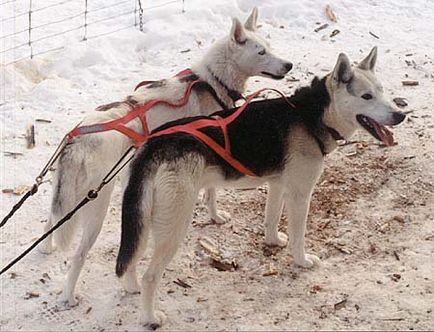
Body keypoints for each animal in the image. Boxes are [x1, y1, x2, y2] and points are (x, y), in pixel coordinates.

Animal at [39, 7, 294, 308]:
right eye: (261, 52)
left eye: (270, 46)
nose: (289, 65)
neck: (210, 81)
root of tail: (78, 139)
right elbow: (212, 192)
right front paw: (215, 216)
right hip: (95, 209)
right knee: (78, 255)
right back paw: (68, 296)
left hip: (67, 196)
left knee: (51, 221)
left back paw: (47, 248)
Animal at [116, 48, 406, 328]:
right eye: (367, 96)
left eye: (382, 91)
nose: (400, 114)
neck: (310, 115)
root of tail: (153, 145)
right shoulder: (300, 194)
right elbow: (299, 236)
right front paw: (302, 261)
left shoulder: (277, 185)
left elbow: (271, 218)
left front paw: (273, 241)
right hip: (173, 227)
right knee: (151, 276)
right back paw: (149, 317)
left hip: (140, 219)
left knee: (131, 258)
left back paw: (131, 287)